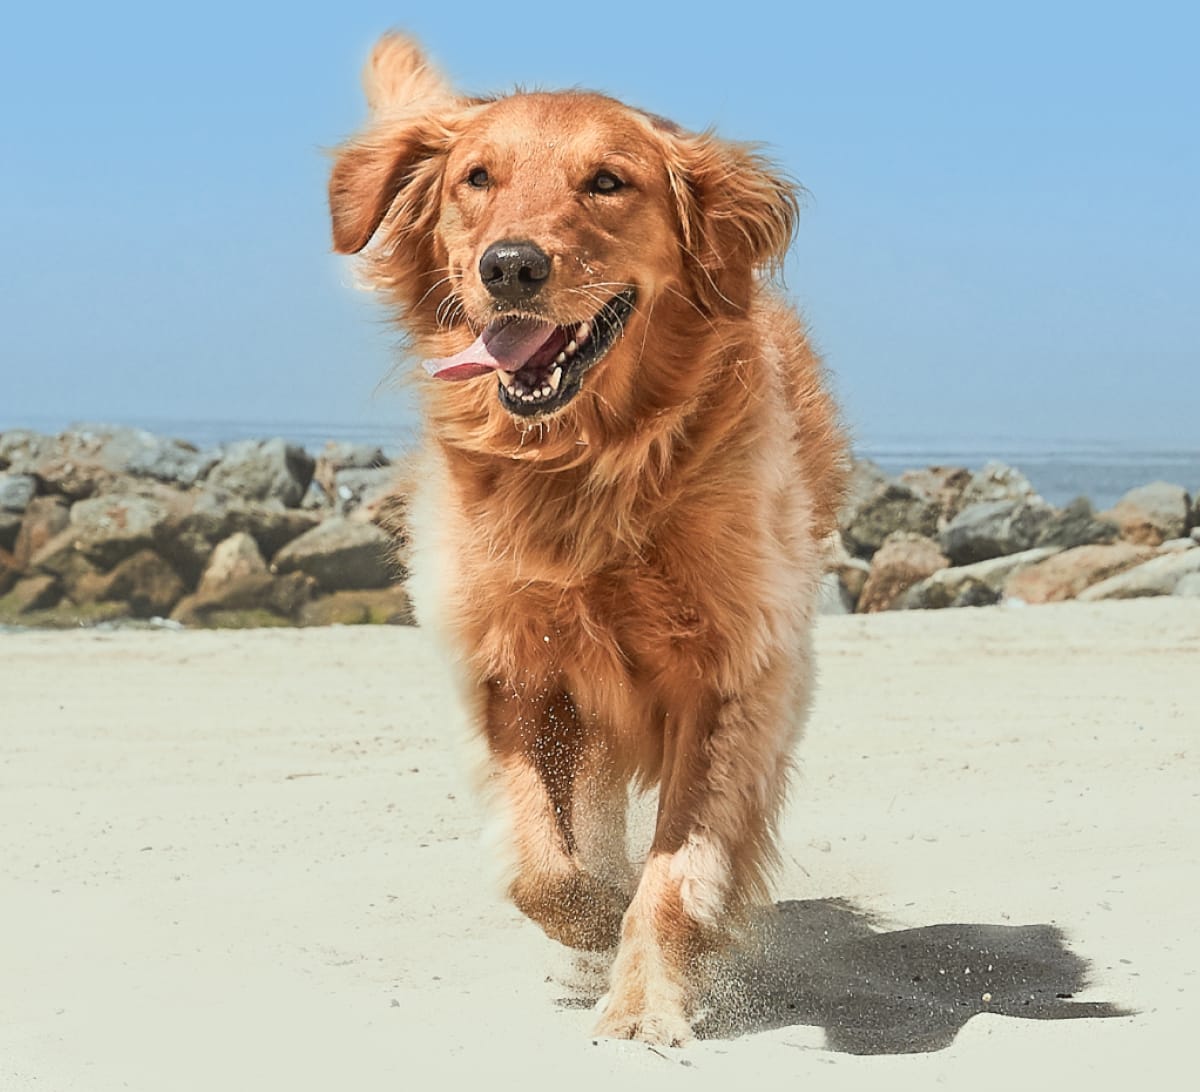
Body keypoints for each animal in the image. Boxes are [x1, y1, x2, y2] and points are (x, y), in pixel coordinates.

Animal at [328, 32, 849, 1041]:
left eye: (608, 182)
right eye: (477, 178)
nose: (511, 266)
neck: (588, 466)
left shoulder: (734, 672)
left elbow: (677, 871)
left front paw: (647, 997)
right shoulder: (514, 666)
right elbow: (542, 864)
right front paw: (594, 921)